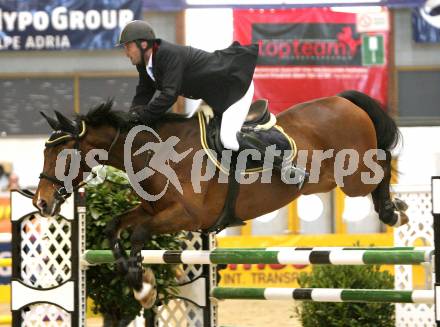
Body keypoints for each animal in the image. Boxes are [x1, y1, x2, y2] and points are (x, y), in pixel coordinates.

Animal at [34, 91, 410, 308]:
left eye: (63, 154)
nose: (41, 203)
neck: (158, 155)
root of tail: (344, 101)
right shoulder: (150, 210)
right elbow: (115, 227)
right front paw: (139, 281)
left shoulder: (186, 217)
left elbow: (139, 235)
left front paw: (143, 286)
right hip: (328, 181)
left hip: (355, 176)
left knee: (382, 166)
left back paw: (395, 212)